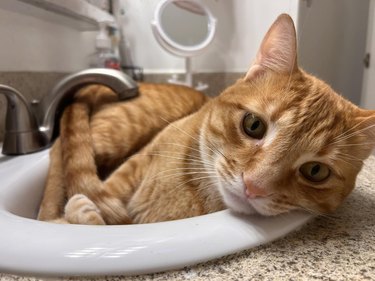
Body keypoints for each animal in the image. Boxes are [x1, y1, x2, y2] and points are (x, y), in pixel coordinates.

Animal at [38, 14, 375, 225]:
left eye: (315, 171)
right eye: (253, 125)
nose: (253, 187)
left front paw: (84, 214)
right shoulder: (136, 163)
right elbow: (106, 191)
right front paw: (77, 212)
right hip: (116, 134)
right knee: (59, 153)